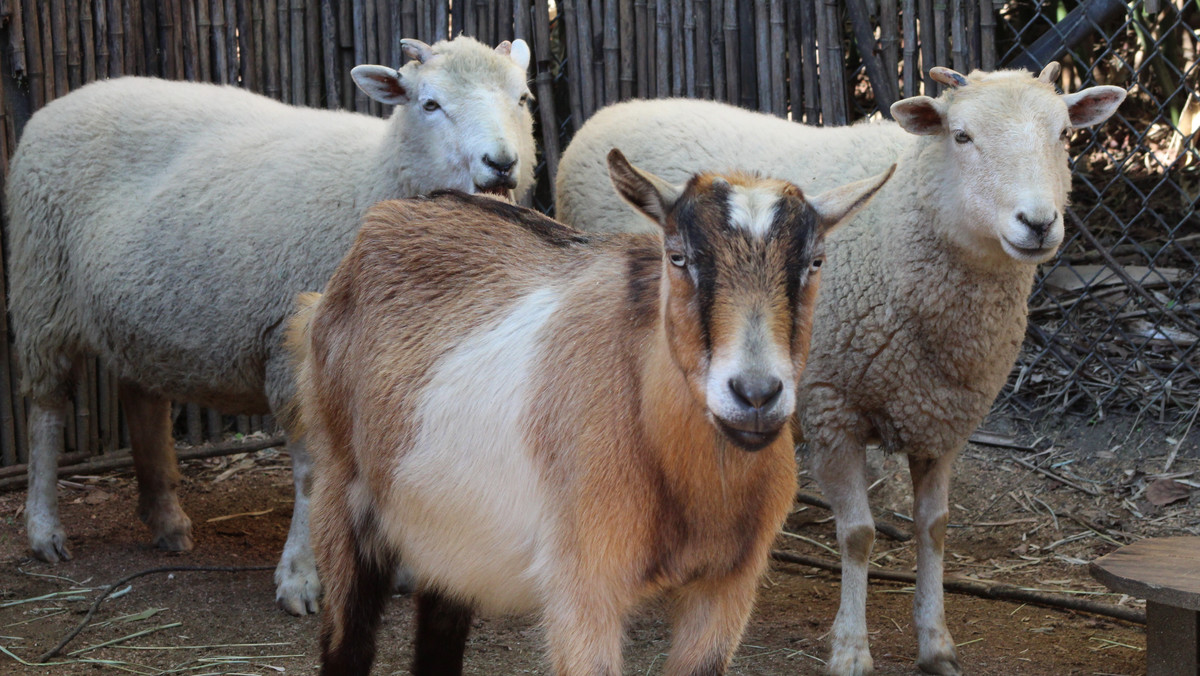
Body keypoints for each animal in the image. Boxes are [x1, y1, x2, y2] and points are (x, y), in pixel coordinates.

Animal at [5, 33, 535, 619]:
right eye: (430, 104)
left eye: (523, 98)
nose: (501, 163)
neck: (370, 178)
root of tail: (66, 100)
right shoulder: (294, 350)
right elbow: (311, 472)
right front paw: (301, 576)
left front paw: (402, 568)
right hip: (41, 291)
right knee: (46, 411)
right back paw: (44, 530)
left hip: (136, 311)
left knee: (141, 399)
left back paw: (166, 521)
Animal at [552, 64, 1123, 676]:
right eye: (962, 135)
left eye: (1063, 135)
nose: (1038, 223)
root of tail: (614, 109)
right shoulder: (831, 408)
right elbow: (857, 535)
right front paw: (851, 648)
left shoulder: (942, 419)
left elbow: (934, 527)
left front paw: (936, 641)